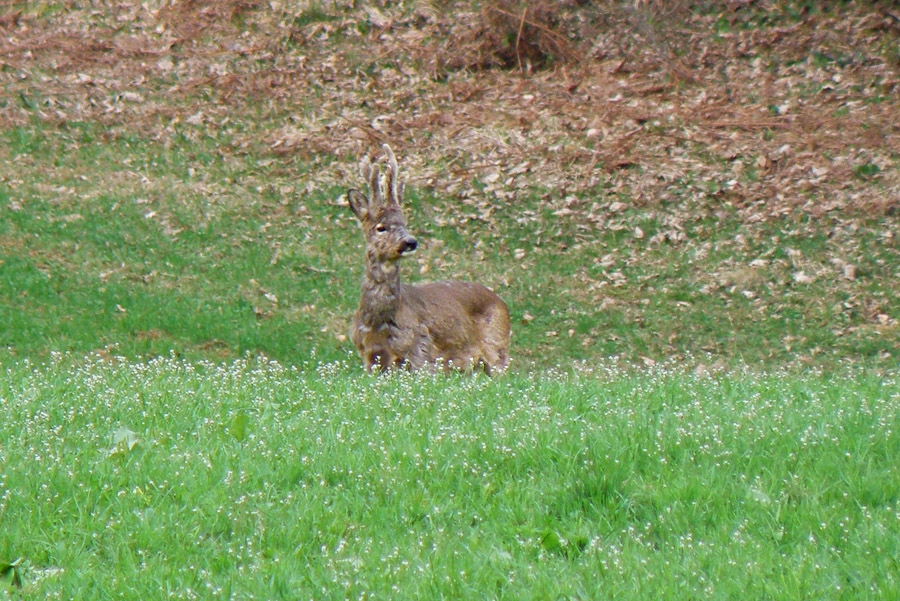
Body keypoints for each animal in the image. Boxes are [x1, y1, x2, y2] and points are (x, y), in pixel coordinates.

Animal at [348, 144, 510, 372]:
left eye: (405, 223)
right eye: (381, 227)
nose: (410, 242)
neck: (379, 322)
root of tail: (502, 302)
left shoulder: (420, 354)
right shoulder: (369, 356)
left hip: (496, 348)